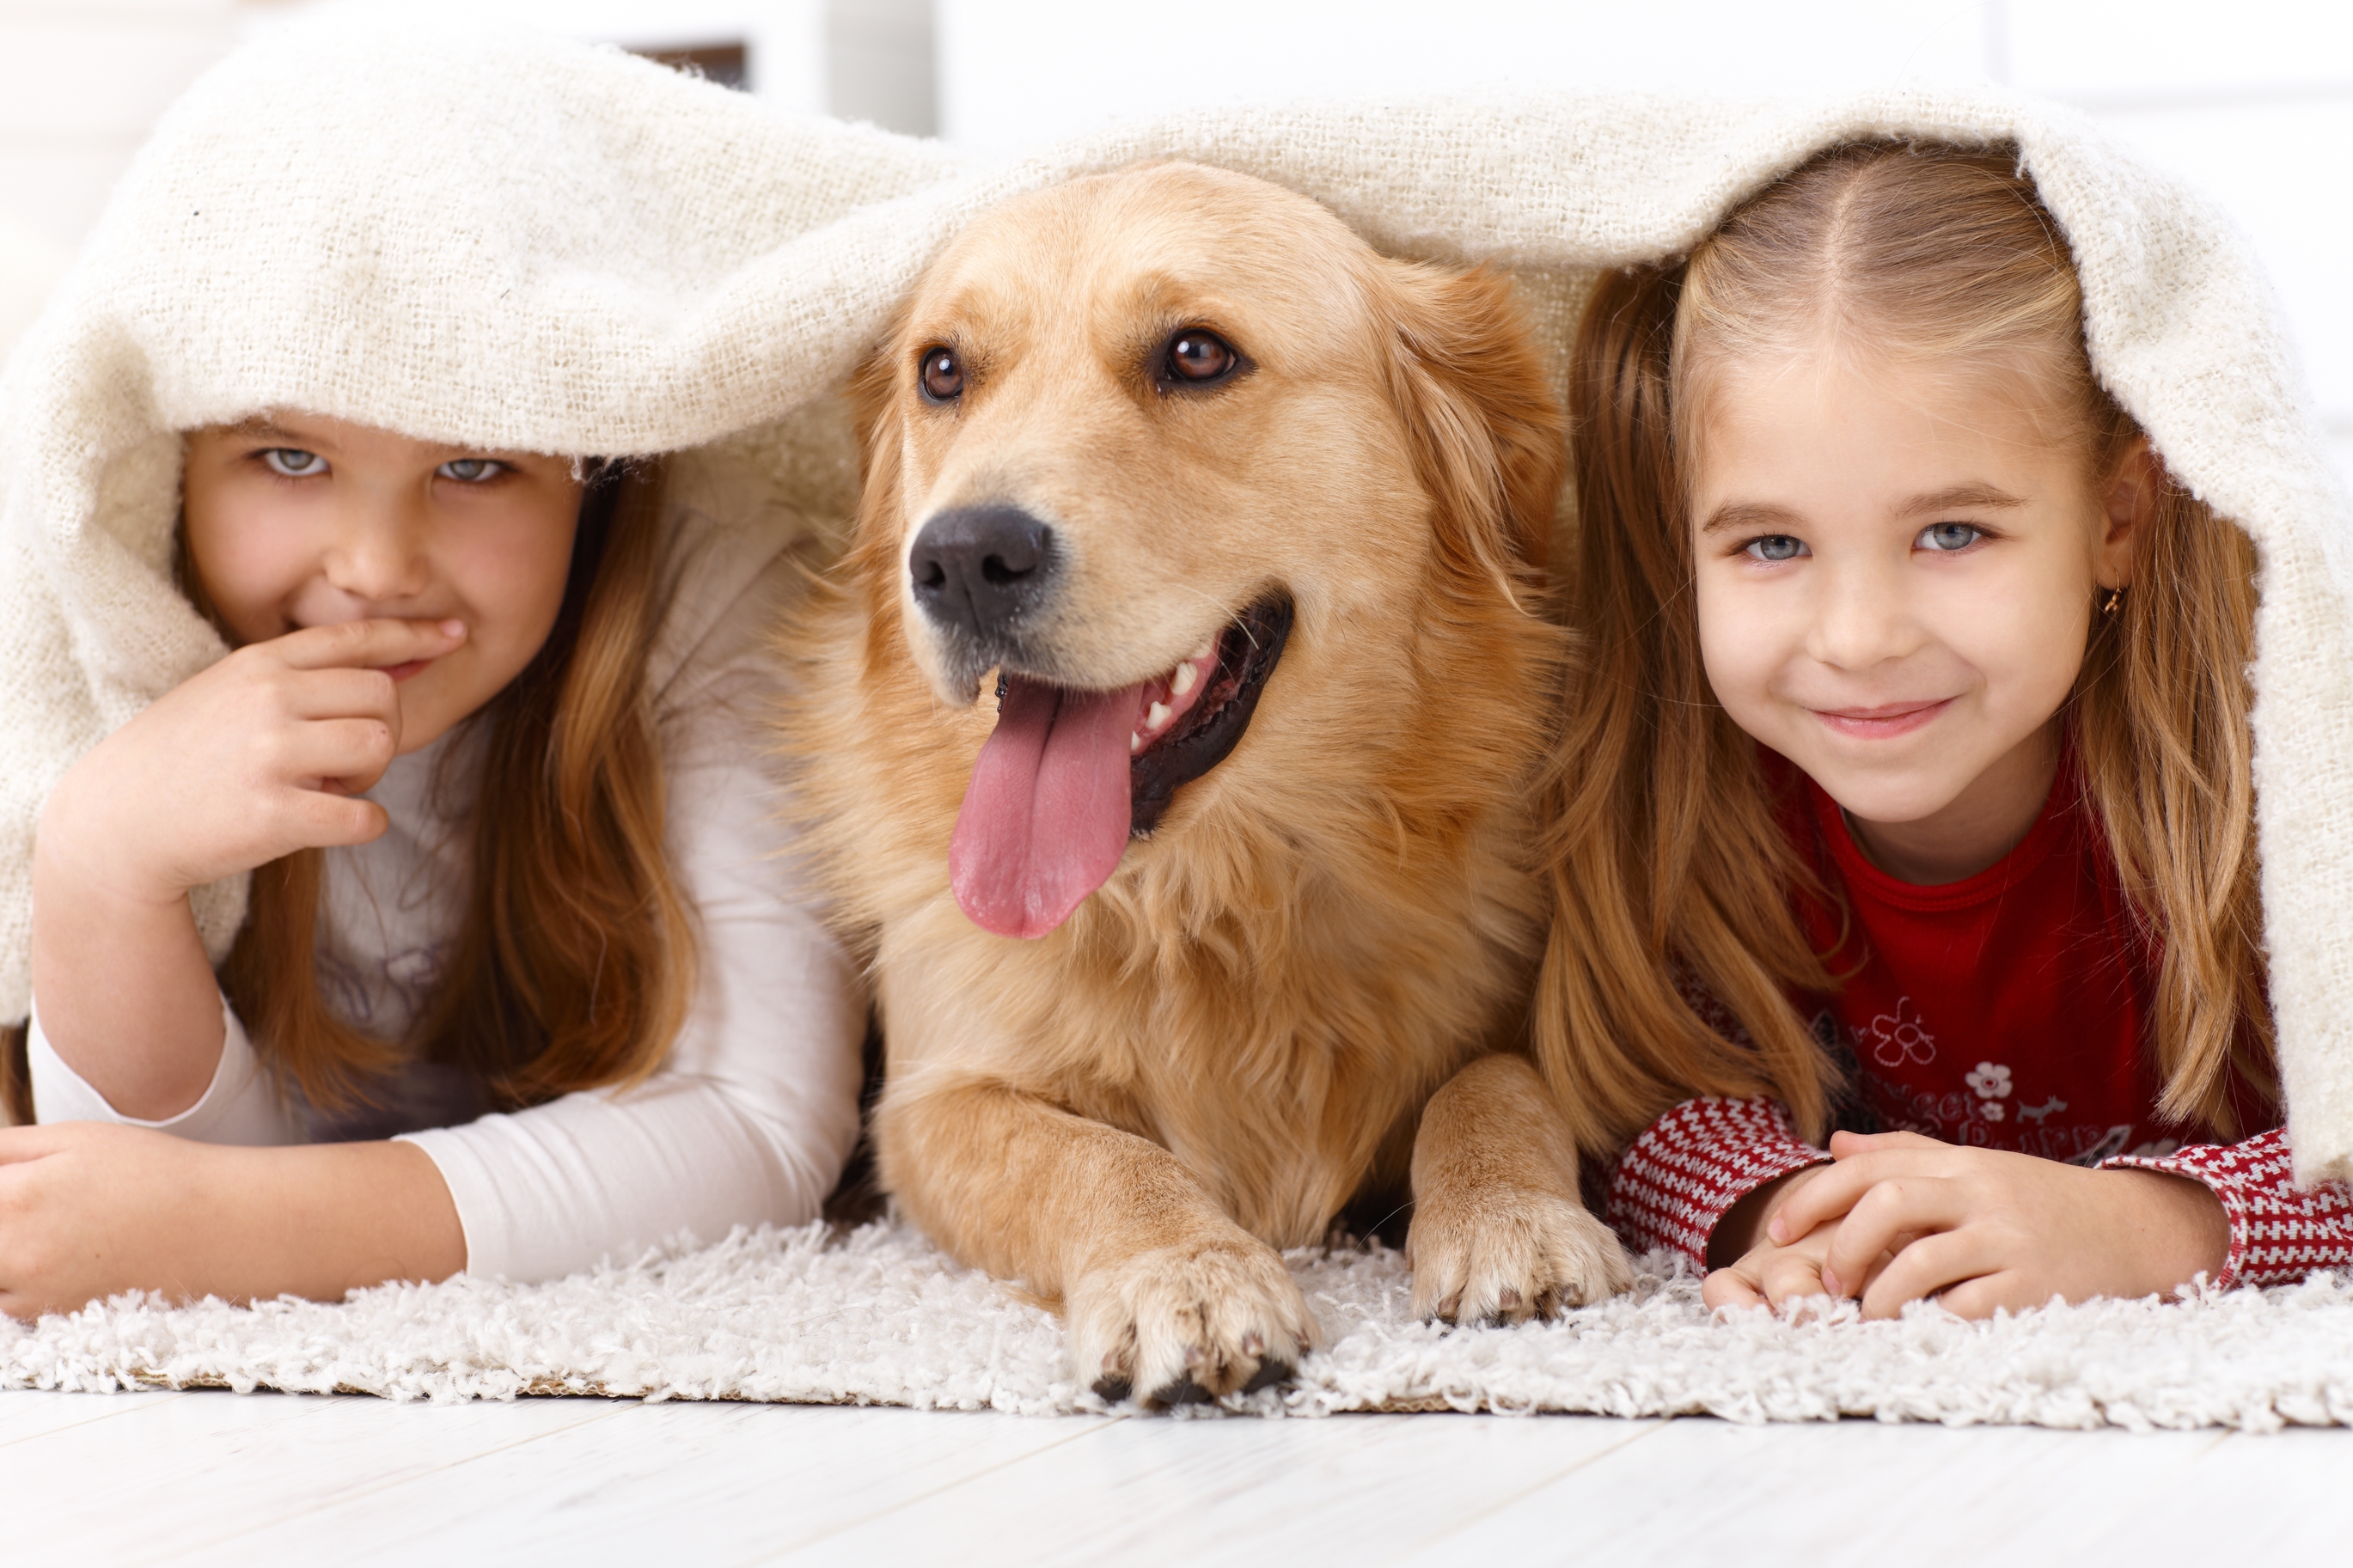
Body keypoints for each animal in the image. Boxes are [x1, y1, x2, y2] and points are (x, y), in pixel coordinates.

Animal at [781, 162, 1628, 1410]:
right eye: (942, 371)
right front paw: (1182, 1274)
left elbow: (1492, 1083)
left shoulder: (1544, 1008)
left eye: (1195, 354)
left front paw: (1509, 1220)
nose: (960, 559)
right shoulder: (933, 1101)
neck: (1210, 900)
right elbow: (1092, 1154)